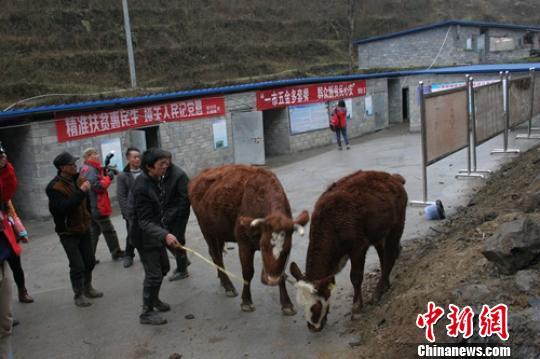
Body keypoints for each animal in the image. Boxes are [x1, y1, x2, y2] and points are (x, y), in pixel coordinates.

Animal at [189, 165, 308, 316]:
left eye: (287, 249)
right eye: (263, 247)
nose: (271, 280)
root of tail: (198, 176)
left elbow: (282, 272)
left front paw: (287, 303)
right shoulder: (244, 244)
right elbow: (247, 272)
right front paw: (246, 301)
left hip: (219, 232)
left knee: (216, 254)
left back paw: (222, 280)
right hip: (206, 230)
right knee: (216, 255)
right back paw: (228, 286)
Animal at [288, 170, 408, 334]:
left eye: (315, 306)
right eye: (301, 304)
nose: (312, 328)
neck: (331, 224)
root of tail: (392, 177)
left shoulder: (358, 247)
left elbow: (355, 277)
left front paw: (356, 309)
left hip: (396, 228)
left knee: (390, 256)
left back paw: (377, 292)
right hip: (379, 234)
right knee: (384, 258)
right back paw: (384, 285)